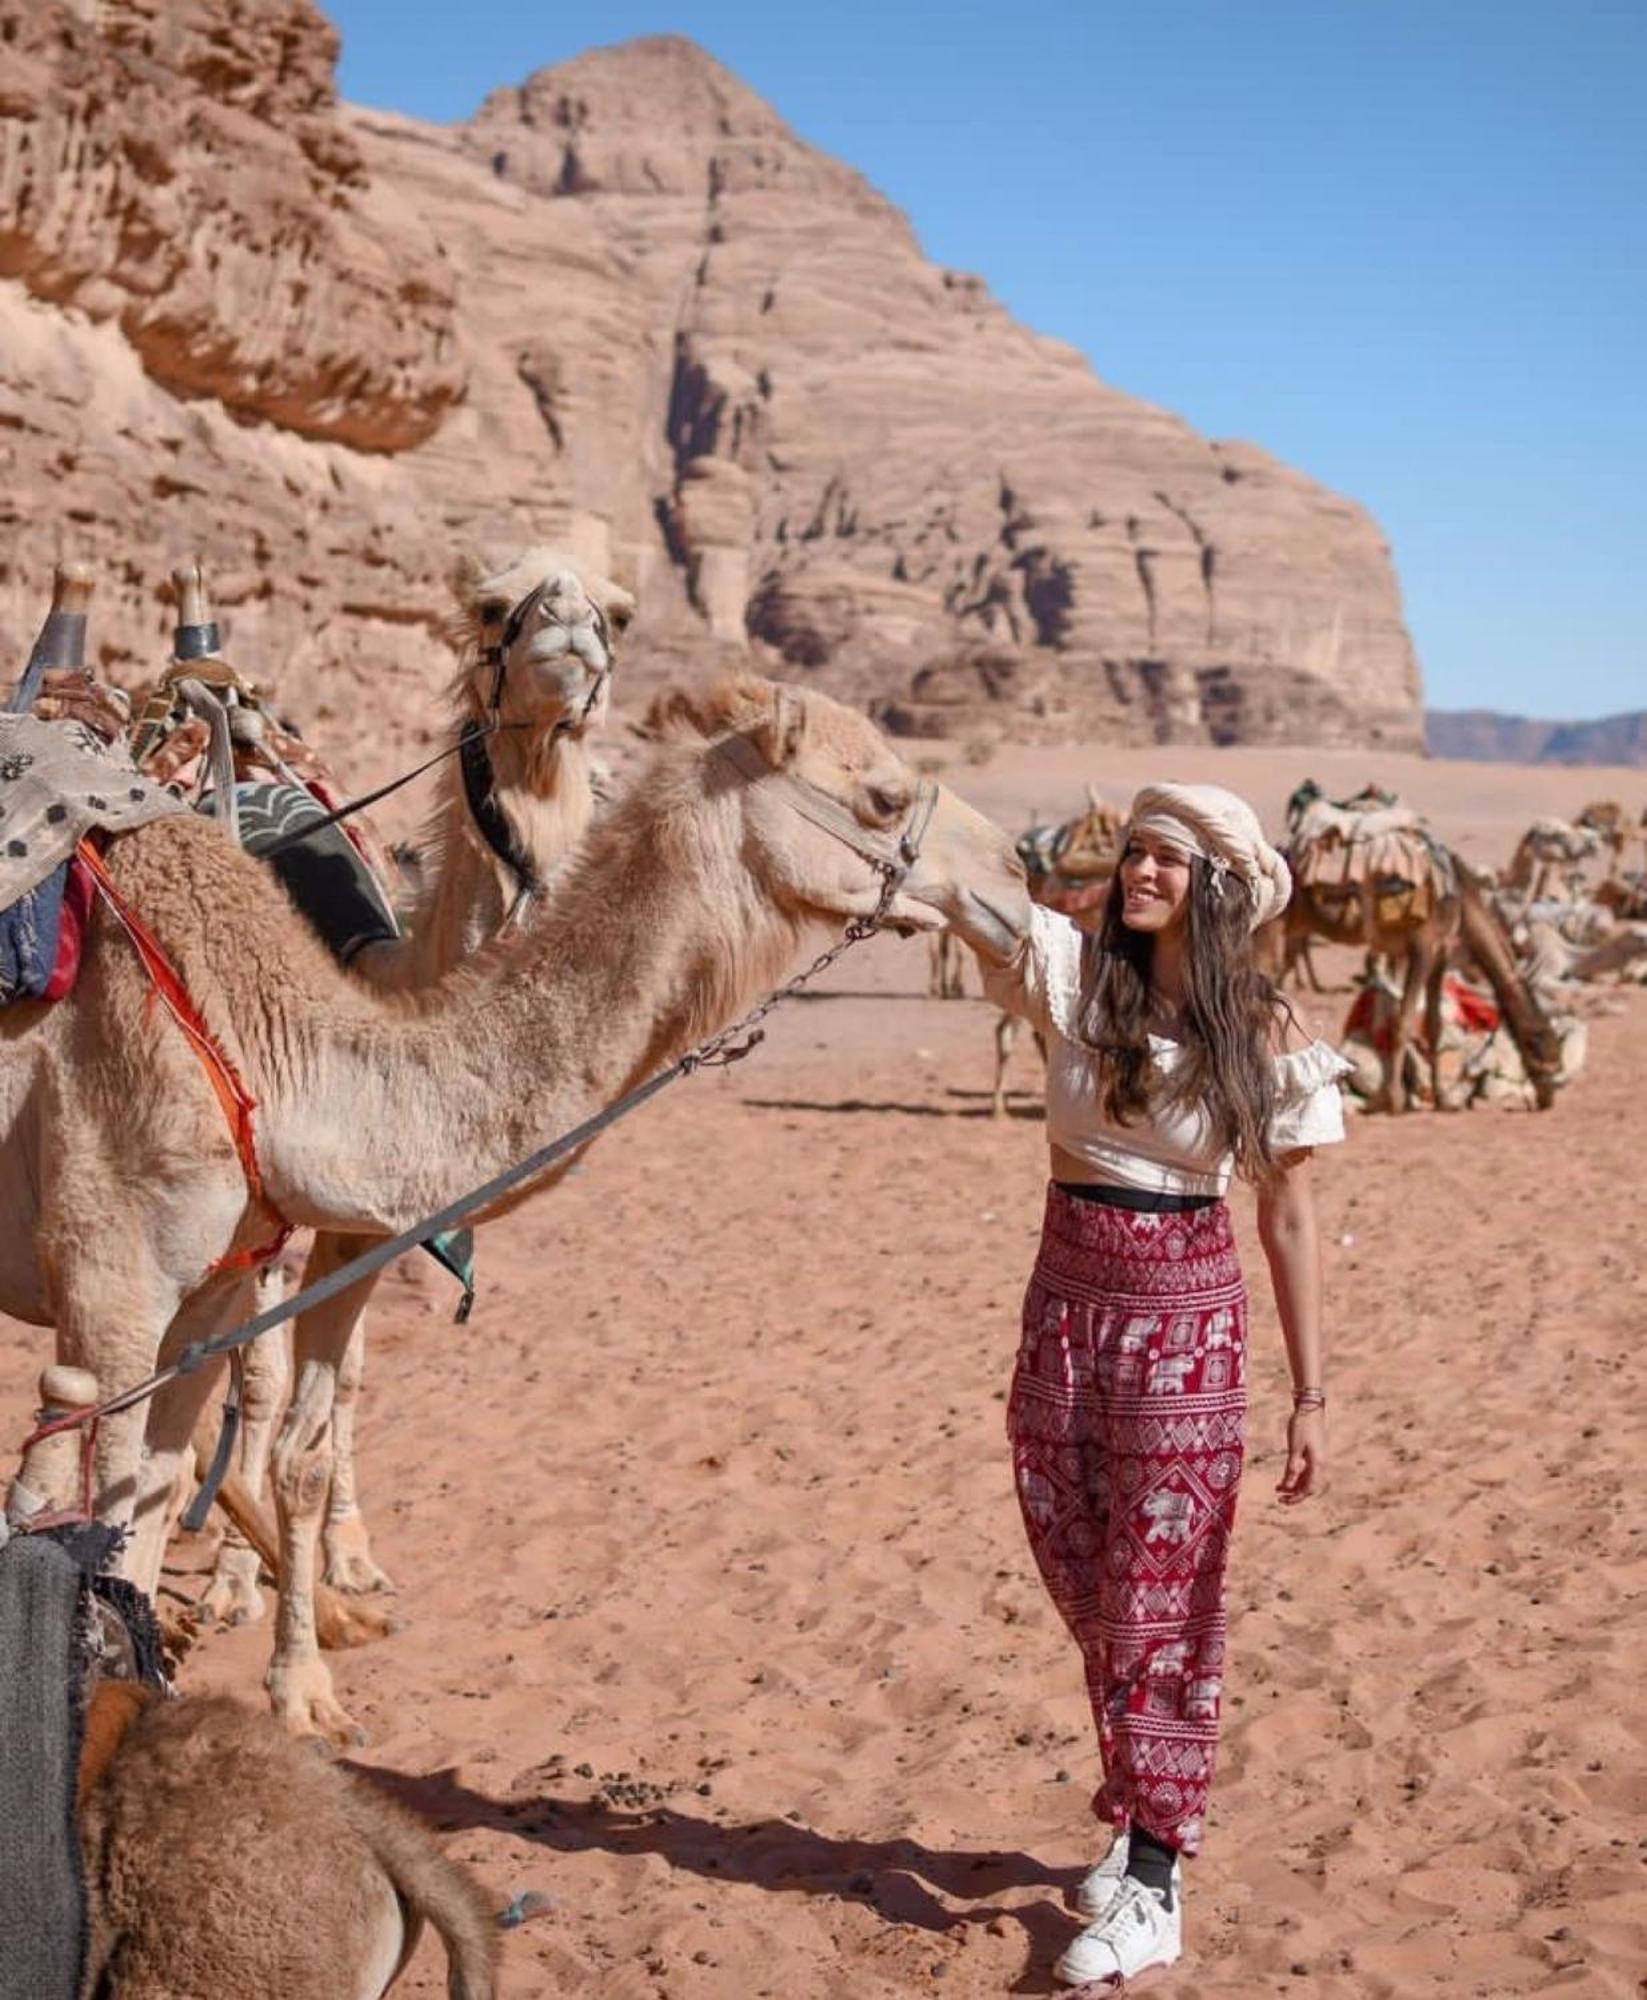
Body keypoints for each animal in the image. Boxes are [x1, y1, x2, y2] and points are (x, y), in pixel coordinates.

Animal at [3, 668, 1031, 1736]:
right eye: (880, 796)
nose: (1015, 873)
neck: (265, 1043)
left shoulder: (208, 1300)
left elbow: (162, 1497)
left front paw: (295, 1690)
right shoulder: (112, 1295)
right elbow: (108, 1508)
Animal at [203, 544, 631, 1624]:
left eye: (618, 610)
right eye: (488, 602)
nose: (569, 630)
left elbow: (345, 1374)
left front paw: (348, 1557)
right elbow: (259, 1374)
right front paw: (234, 1580)